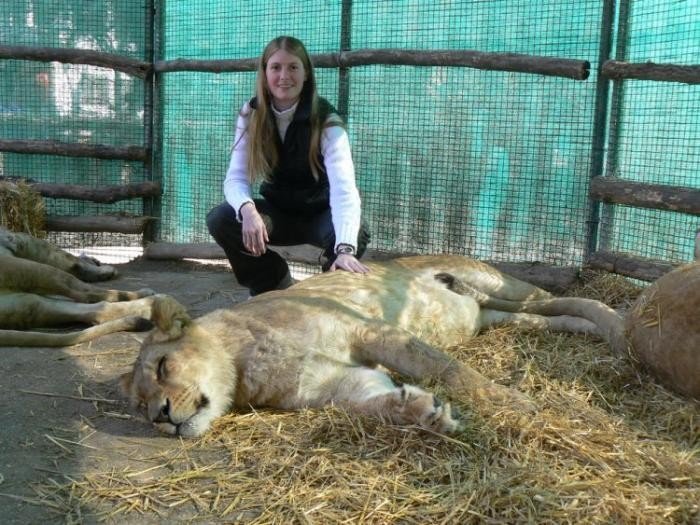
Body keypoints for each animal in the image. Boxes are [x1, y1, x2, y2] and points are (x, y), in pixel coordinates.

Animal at [0, 227, 161, 346]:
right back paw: (150, 299)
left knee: (96, 309)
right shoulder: (21, 241)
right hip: (28, 268)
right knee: (86, 292)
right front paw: (100, 268)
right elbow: (71, 260)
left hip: (27, 303)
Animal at [121, 255, 628, 438]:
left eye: (163, 367)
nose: (161, 417)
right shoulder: (330, 383)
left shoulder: (370, 330)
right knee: (548, 315)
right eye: (140, 405)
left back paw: (619, 325)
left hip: (495, 280)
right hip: (494, 314)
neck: (244, 365)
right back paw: (593, 331)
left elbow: (449, 370)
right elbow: (371, 403)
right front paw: (421, 412)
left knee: (561, 297)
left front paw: (517, 405)